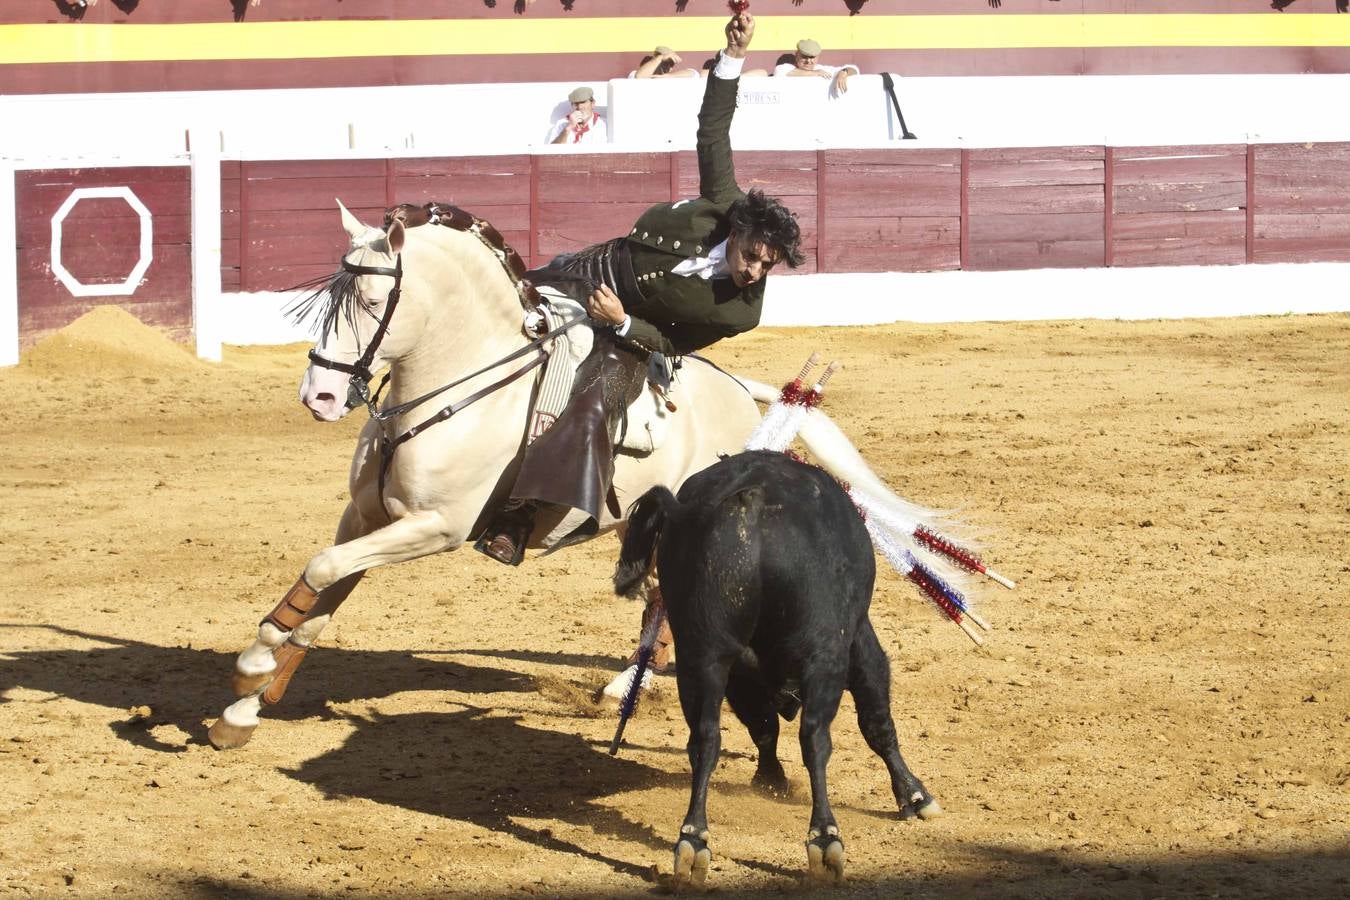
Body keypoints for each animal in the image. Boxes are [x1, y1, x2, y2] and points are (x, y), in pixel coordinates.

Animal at [210, 201, 945, 750]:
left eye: (368, 300)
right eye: (329, 294)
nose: (321, 397)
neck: (462, 377)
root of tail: (746, 397)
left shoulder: (435, 527)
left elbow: (322, 570)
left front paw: (250, 671)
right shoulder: (366, 515)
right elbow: (322, 595)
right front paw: (245, 709)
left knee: (670, 604)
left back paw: (628, 689)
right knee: (657, 598)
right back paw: (626, 685)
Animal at [618, 450, 945, 885]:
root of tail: (752, 502)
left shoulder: (739, 675)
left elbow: (762, 728)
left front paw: (770, 780)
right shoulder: (859, 641)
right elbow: (876, 720)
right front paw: (914, 796)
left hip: (702, 653)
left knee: (705, 738)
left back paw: (693, 840)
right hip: (823, 653)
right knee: (815, 738)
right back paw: (824, 840)